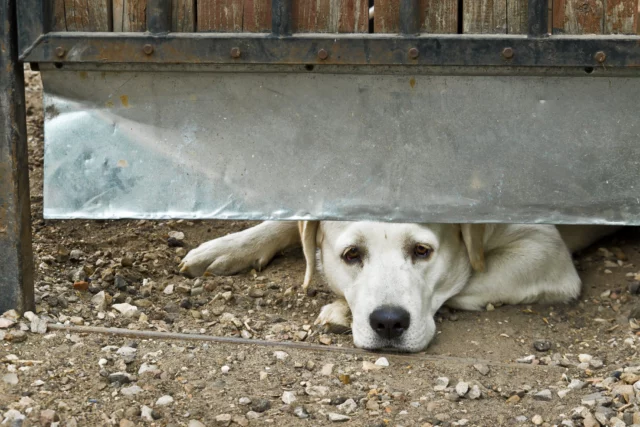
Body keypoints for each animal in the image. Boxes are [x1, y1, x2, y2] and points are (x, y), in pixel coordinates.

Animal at [179, 222, 616, 352]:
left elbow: (461, 283)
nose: (388, 323)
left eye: (422, 251)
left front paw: (342, 310)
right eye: (352, 254)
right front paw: (230, 246)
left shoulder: (544, 251)